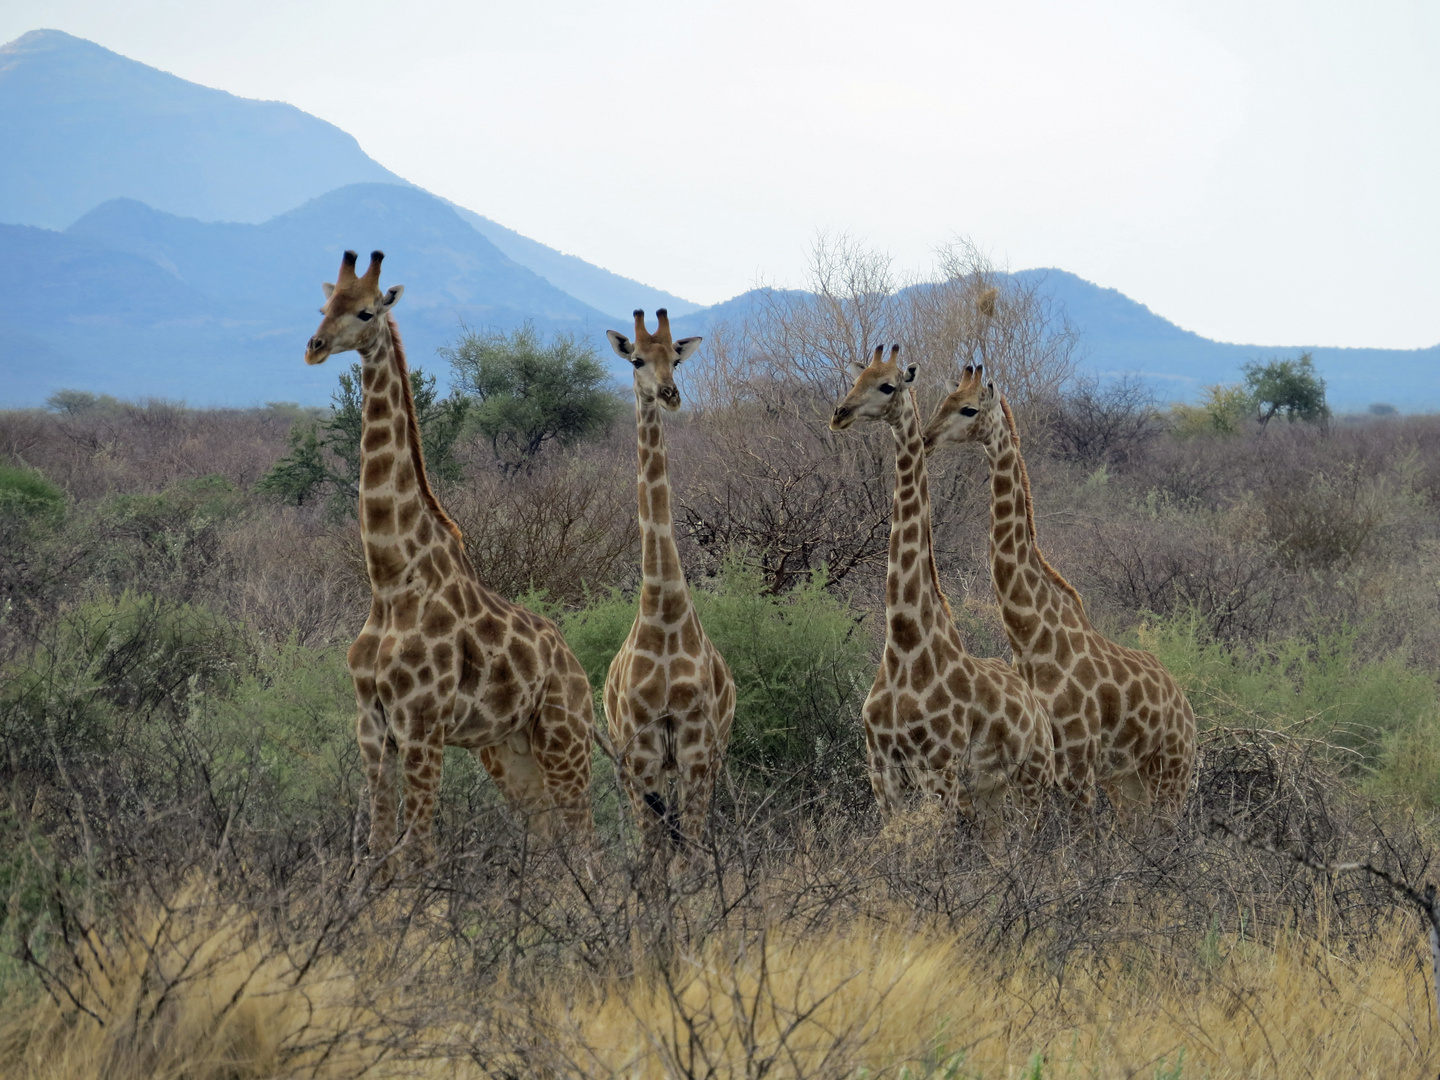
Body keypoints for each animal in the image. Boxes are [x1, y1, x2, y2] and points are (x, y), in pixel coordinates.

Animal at [303, 249, 596, 869]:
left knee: (588, 845)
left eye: (365, 312)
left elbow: (417, 851)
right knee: (547, 841)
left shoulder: (421, 725)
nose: (314, 346)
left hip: (565, 739)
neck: (390, 579)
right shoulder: (373, 727)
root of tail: (577, 667)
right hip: (508, 750)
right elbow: (378, 850)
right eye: (324, 306)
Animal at [829, 347, 1054, 835]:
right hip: (990, 793)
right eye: (856, 379)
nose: (840, 415)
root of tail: (1037, 707)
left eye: (887, 385)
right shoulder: (882, 770)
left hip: (1032, 778)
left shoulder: (941, 770)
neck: (905, 643)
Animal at [921, 365, 1192, 829]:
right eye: (944, 401)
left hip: (1172, 773)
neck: (1031, 639)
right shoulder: (1044, 761)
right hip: (1129, 781)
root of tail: (1188, 709)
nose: (925, 437)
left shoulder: (1077, 764)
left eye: (968, 408)